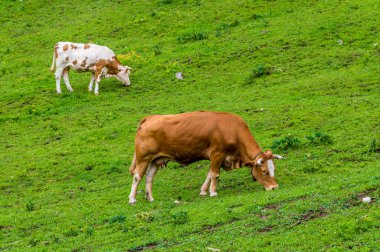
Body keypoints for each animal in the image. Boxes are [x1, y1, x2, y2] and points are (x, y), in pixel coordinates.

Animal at [129, 111, 284, 204]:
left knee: (149, 177)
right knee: (137, 177)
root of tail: (149, 118)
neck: (233, 130)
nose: (275, 187)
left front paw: (204, 191)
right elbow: (215, 174)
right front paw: (213, 192)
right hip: (143, 158)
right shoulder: (217, 153)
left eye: (274, 169)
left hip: (155, 160)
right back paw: (132, 199)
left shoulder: (216, 157)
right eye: (264, 171)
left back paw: (150, 197)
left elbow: (209, 174)